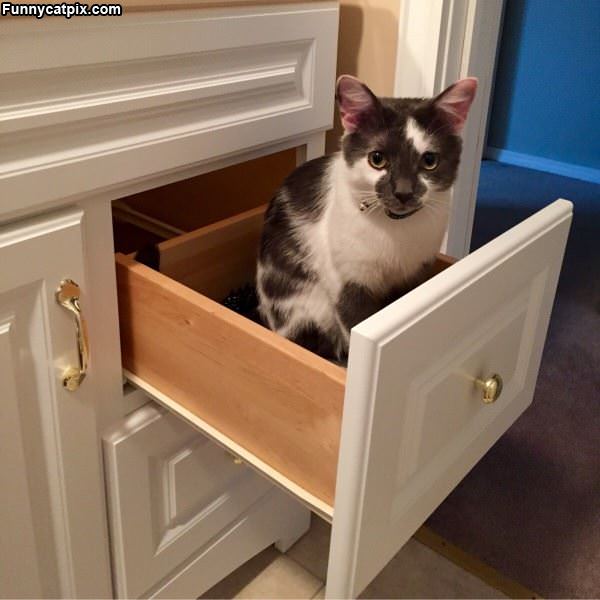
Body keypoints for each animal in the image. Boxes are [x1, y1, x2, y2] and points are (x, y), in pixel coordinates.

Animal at [255, 75, 476, 360]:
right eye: (377, 159)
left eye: (430, 160)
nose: (403, 192)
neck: (396, 230)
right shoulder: (347, 283)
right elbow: (353, 324)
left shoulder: (415, 274)